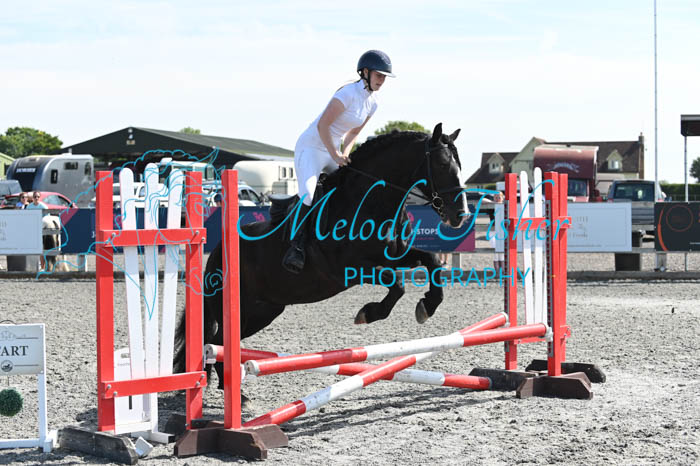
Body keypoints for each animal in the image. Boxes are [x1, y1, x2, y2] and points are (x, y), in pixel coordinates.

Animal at [174, 123, 467, 388]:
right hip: (239, 308)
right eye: (442, 164)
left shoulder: (396, 255)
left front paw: (428, 306)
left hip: (263, 310)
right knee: (217, 342)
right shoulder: (350, 268)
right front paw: (368, 313)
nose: (460, 215)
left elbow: (431, 262)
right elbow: (397, 284)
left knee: (222, 343)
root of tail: (216, 252)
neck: (370, 202)